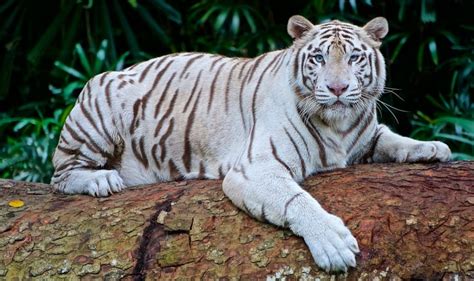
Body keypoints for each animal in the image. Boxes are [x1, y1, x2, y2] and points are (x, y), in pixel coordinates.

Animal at [50, 16, 450, 270]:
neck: (339, 125)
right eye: (318, 57)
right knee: (60, 175)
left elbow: (392, 138)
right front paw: (334, 245)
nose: (337, 88)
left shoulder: (365, 136)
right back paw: (102, 180)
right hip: (99, 106)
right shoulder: (257, 168)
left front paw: (433, 147)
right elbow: (296, 200)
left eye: (354, 57)